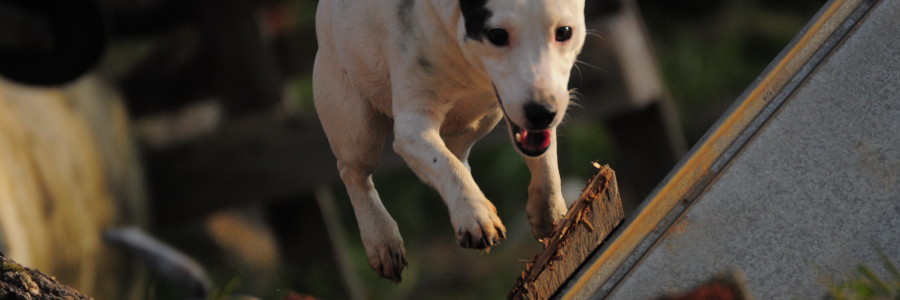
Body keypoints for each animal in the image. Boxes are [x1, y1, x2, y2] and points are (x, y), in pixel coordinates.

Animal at [312, 0, 588, 282]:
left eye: (565, 32)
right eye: (497, 35)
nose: (541, 112)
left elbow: (545, 160)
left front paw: (548, 210)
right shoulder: (412, 123)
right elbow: (445, 165)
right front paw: (474, 215)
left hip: (483, 117)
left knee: (458, 154)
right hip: (355, 122)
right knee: (354, 173)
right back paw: (382, 241)